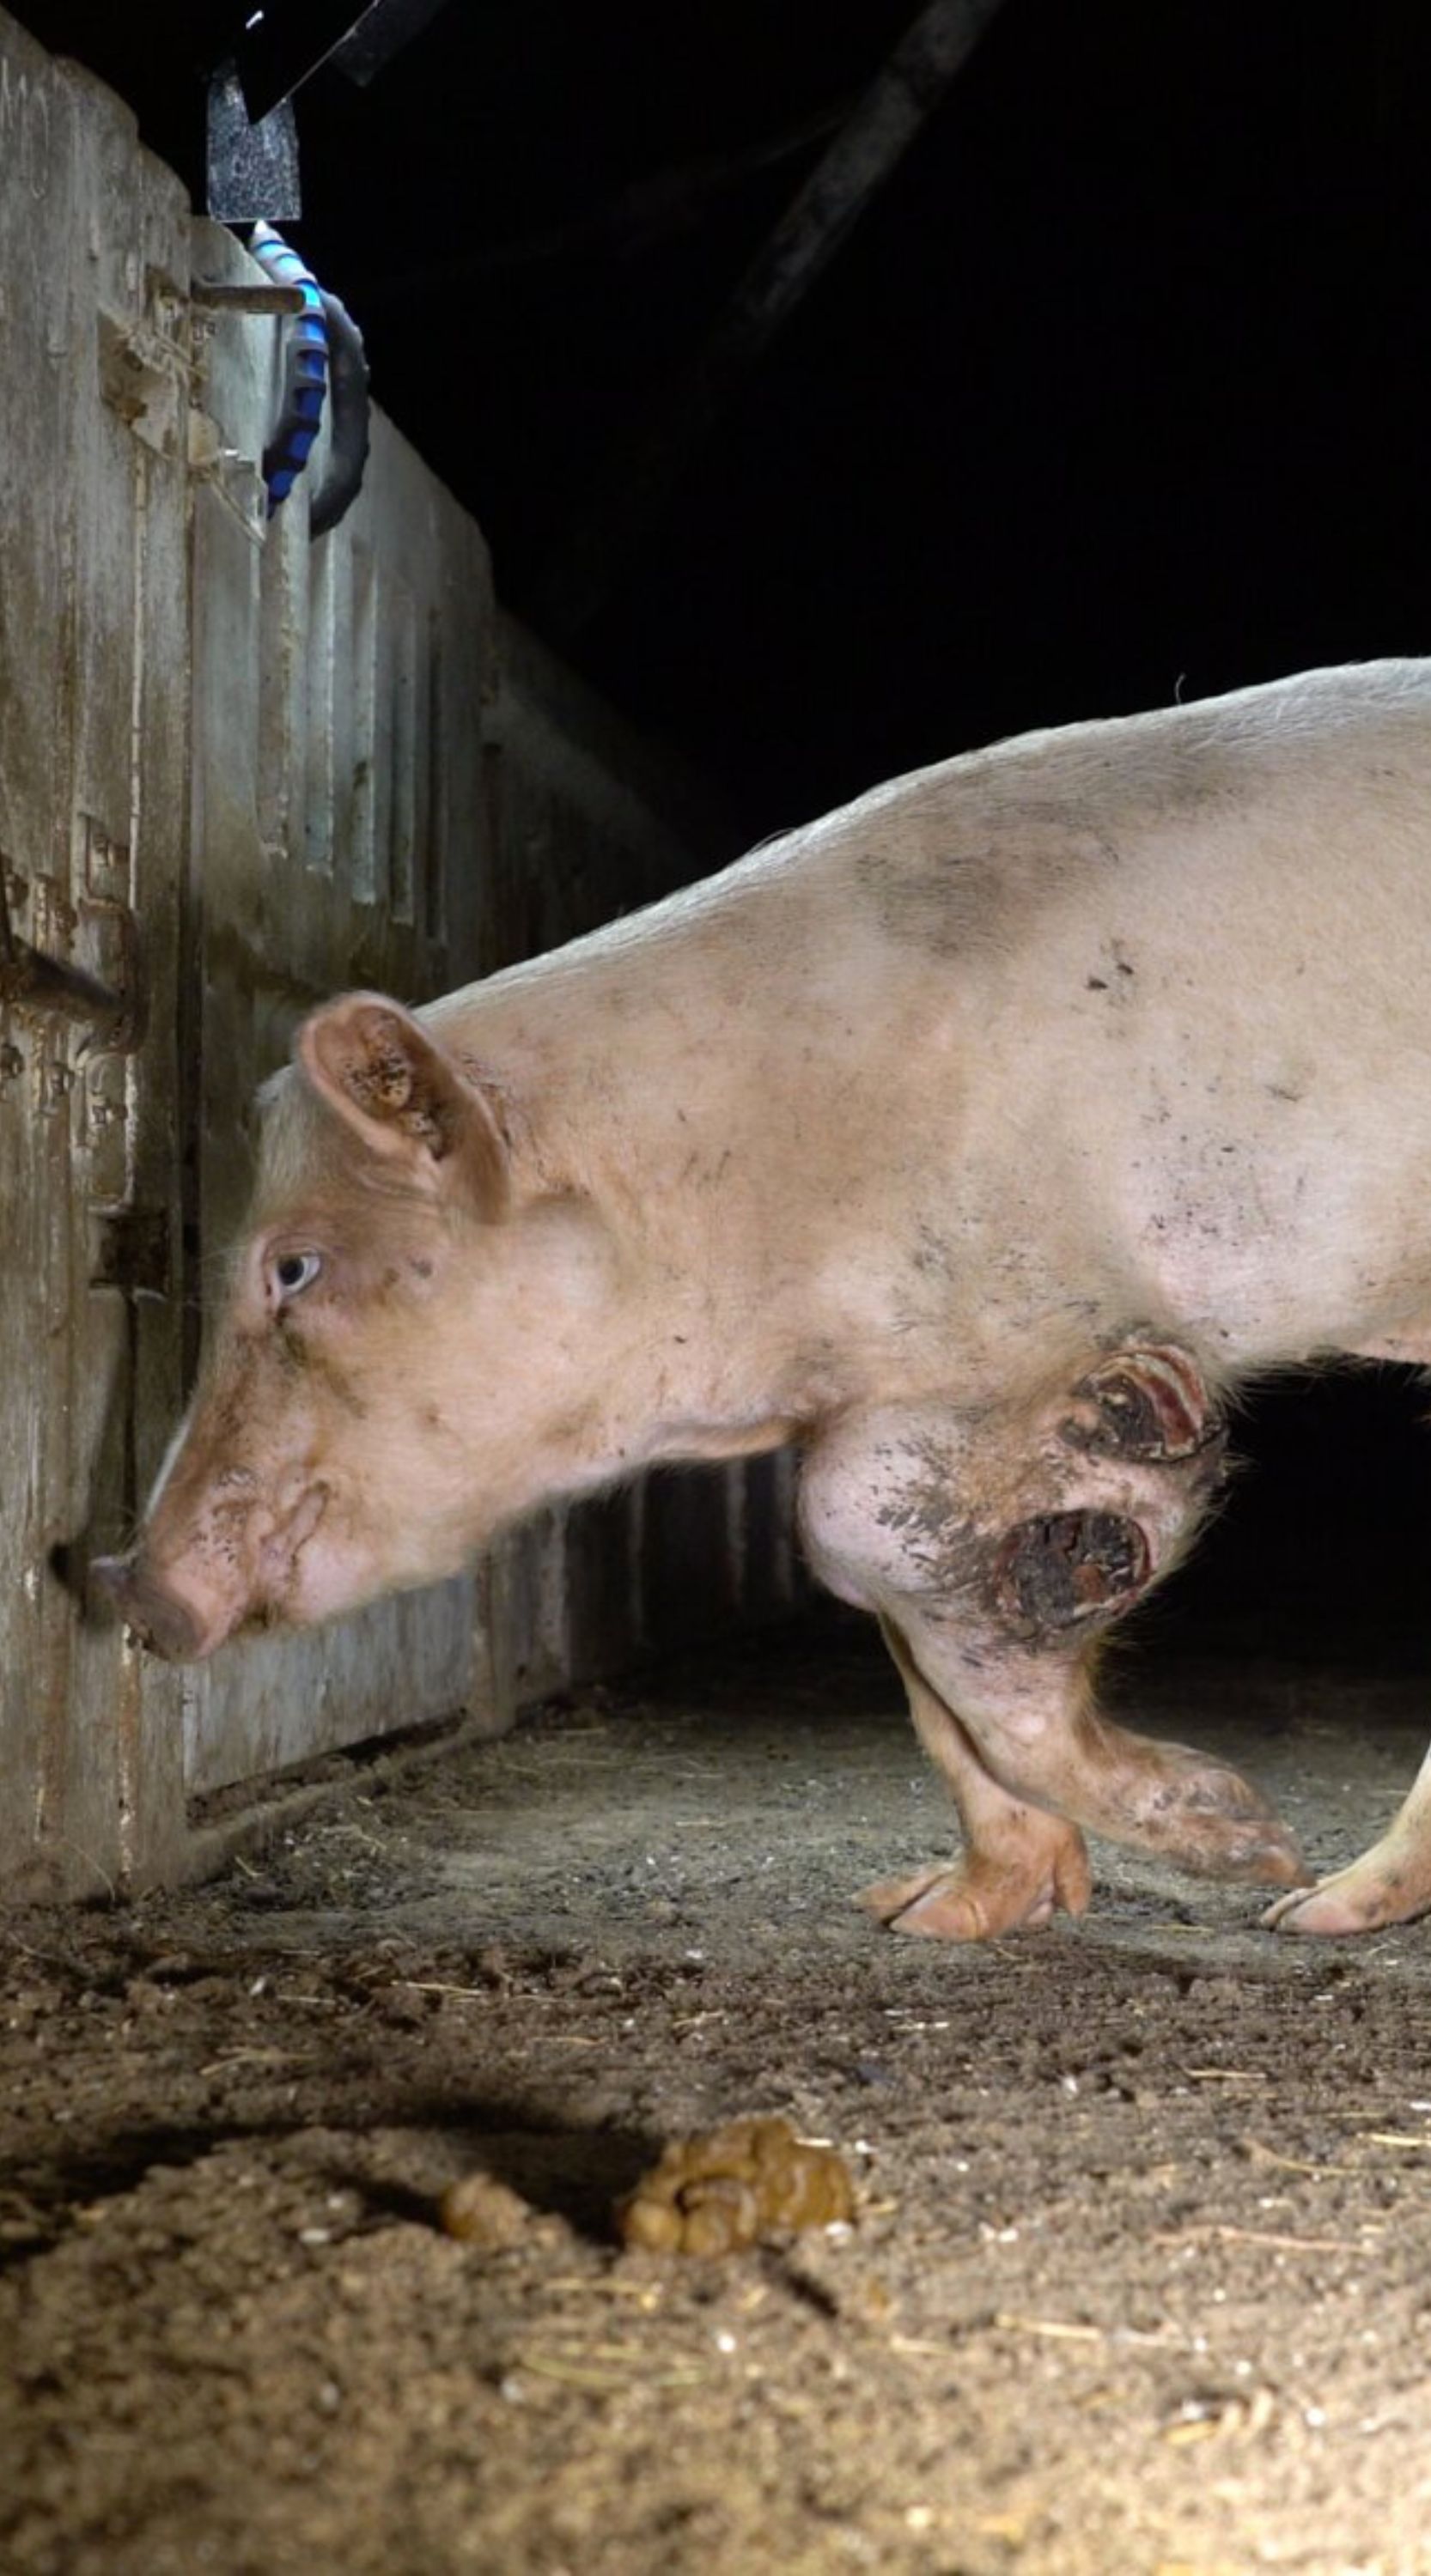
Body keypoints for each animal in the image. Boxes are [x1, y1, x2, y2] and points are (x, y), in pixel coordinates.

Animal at [98, 658, 1431, 1940]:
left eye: (292, 1268)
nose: (127, 1583)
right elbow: (907, 1654)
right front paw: (922, 1917)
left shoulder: (1006, 1332)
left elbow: (849, 1532)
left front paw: (1242, 1832)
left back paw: (1306, 1907)